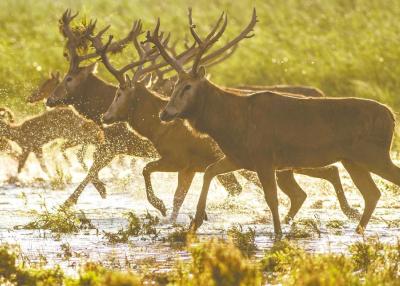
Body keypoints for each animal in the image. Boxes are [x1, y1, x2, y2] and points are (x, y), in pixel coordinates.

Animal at [44, 10, 244, 213]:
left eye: (68, 78)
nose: (49, 100)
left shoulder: (115, 145)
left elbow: (93, 169)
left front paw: (73, 200)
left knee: (236, 187)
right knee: (235, 187)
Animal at [93, 17, 356, 223]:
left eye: (118, 93)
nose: (105, 116)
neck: (157, 131)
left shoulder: (181, 159)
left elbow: (152, 175)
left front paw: (161, 207)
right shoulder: (191, 166)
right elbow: (178, 197)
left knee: (317, 179)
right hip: (288, 165)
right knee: (315, 182)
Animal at [151, 8, 400, 236]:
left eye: (188, 86)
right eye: (174, 86)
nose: (165, 113)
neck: (229, 124)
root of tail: (391, 115)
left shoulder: (264, 157)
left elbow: (271, 197)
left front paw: (278, 233)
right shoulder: (239, 156)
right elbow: (210, 171)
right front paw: (196, 221)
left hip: (374, 154)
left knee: (383, 185)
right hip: (353, 159)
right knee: (372, 193)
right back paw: (358, 230)